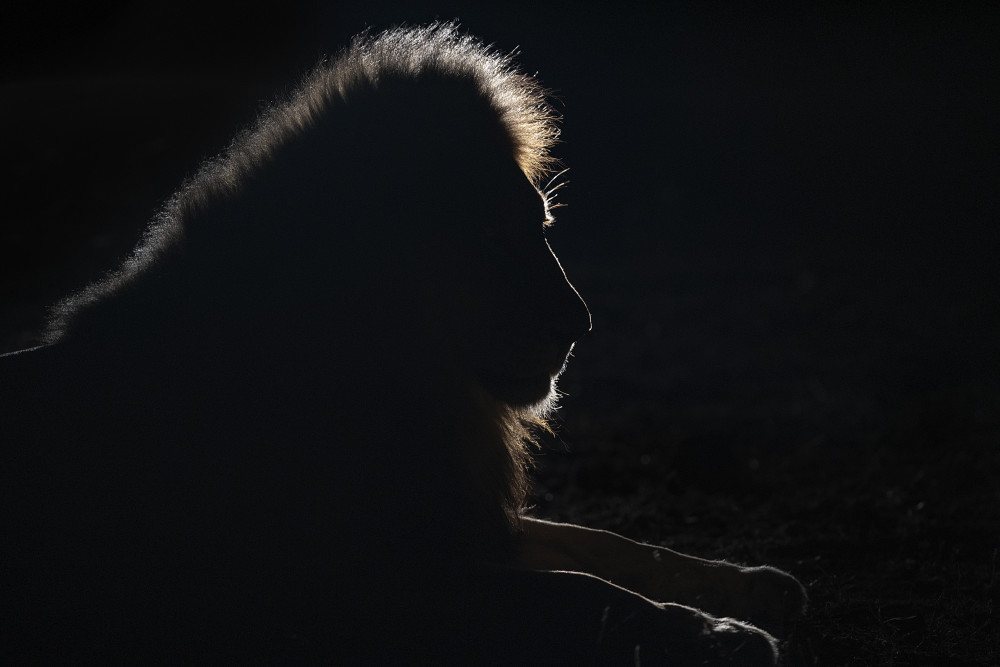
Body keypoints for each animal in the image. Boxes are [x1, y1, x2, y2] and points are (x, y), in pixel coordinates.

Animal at [0, 23, 805, 664]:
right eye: (492, 235)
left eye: (541, 225)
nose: (579, 328)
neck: (415, 378)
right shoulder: (364, 586)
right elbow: (581, 591)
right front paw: (722, 635)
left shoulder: (461, 521)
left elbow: (613, 547)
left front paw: (754, 587)